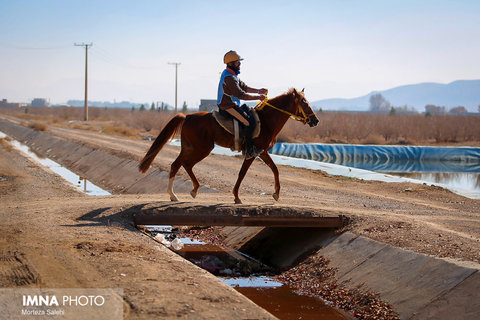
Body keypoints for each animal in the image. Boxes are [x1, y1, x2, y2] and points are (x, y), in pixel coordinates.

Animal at [139, 88, 318, 202]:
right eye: (304, 102)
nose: (315, 120)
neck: (266, 120)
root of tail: (188, 116)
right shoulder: (253, 153)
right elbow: (242, 173)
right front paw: (237, 196)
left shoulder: (262, 152)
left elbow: (275, 169)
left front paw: (276, 194)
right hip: (201, 148)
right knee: (182, 164)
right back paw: (175, 194)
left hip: (191, 148)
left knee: (180, 164)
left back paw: (188, 191)